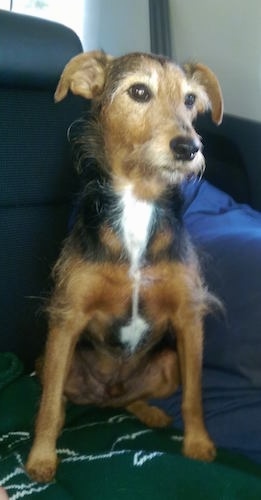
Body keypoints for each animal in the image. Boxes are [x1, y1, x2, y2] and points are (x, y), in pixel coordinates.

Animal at [25, 49, 222, 480]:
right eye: (139, 92)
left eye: (189, 100)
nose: (189, 147)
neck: (139, 198)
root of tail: (107, 395)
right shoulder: (67, 319)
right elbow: (48, 407)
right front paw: (40, 459)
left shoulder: (189, 317)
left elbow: (195, 397)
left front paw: (198, 445)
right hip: (46, 360)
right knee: (57, 396)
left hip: (168, 363)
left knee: (132, 400)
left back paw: (150, 412)